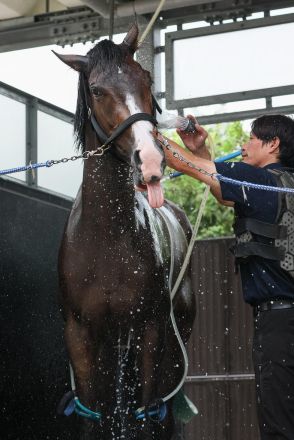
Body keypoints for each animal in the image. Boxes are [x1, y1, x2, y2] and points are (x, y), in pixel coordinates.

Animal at [56, 24, 196, 440]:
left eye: (145, 79)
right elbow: (94, 416)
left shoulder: (150, 329)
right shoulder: (81, 335)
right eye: (98, 90)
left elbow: (146, 414)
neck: (107, 238)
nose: (149, 159)